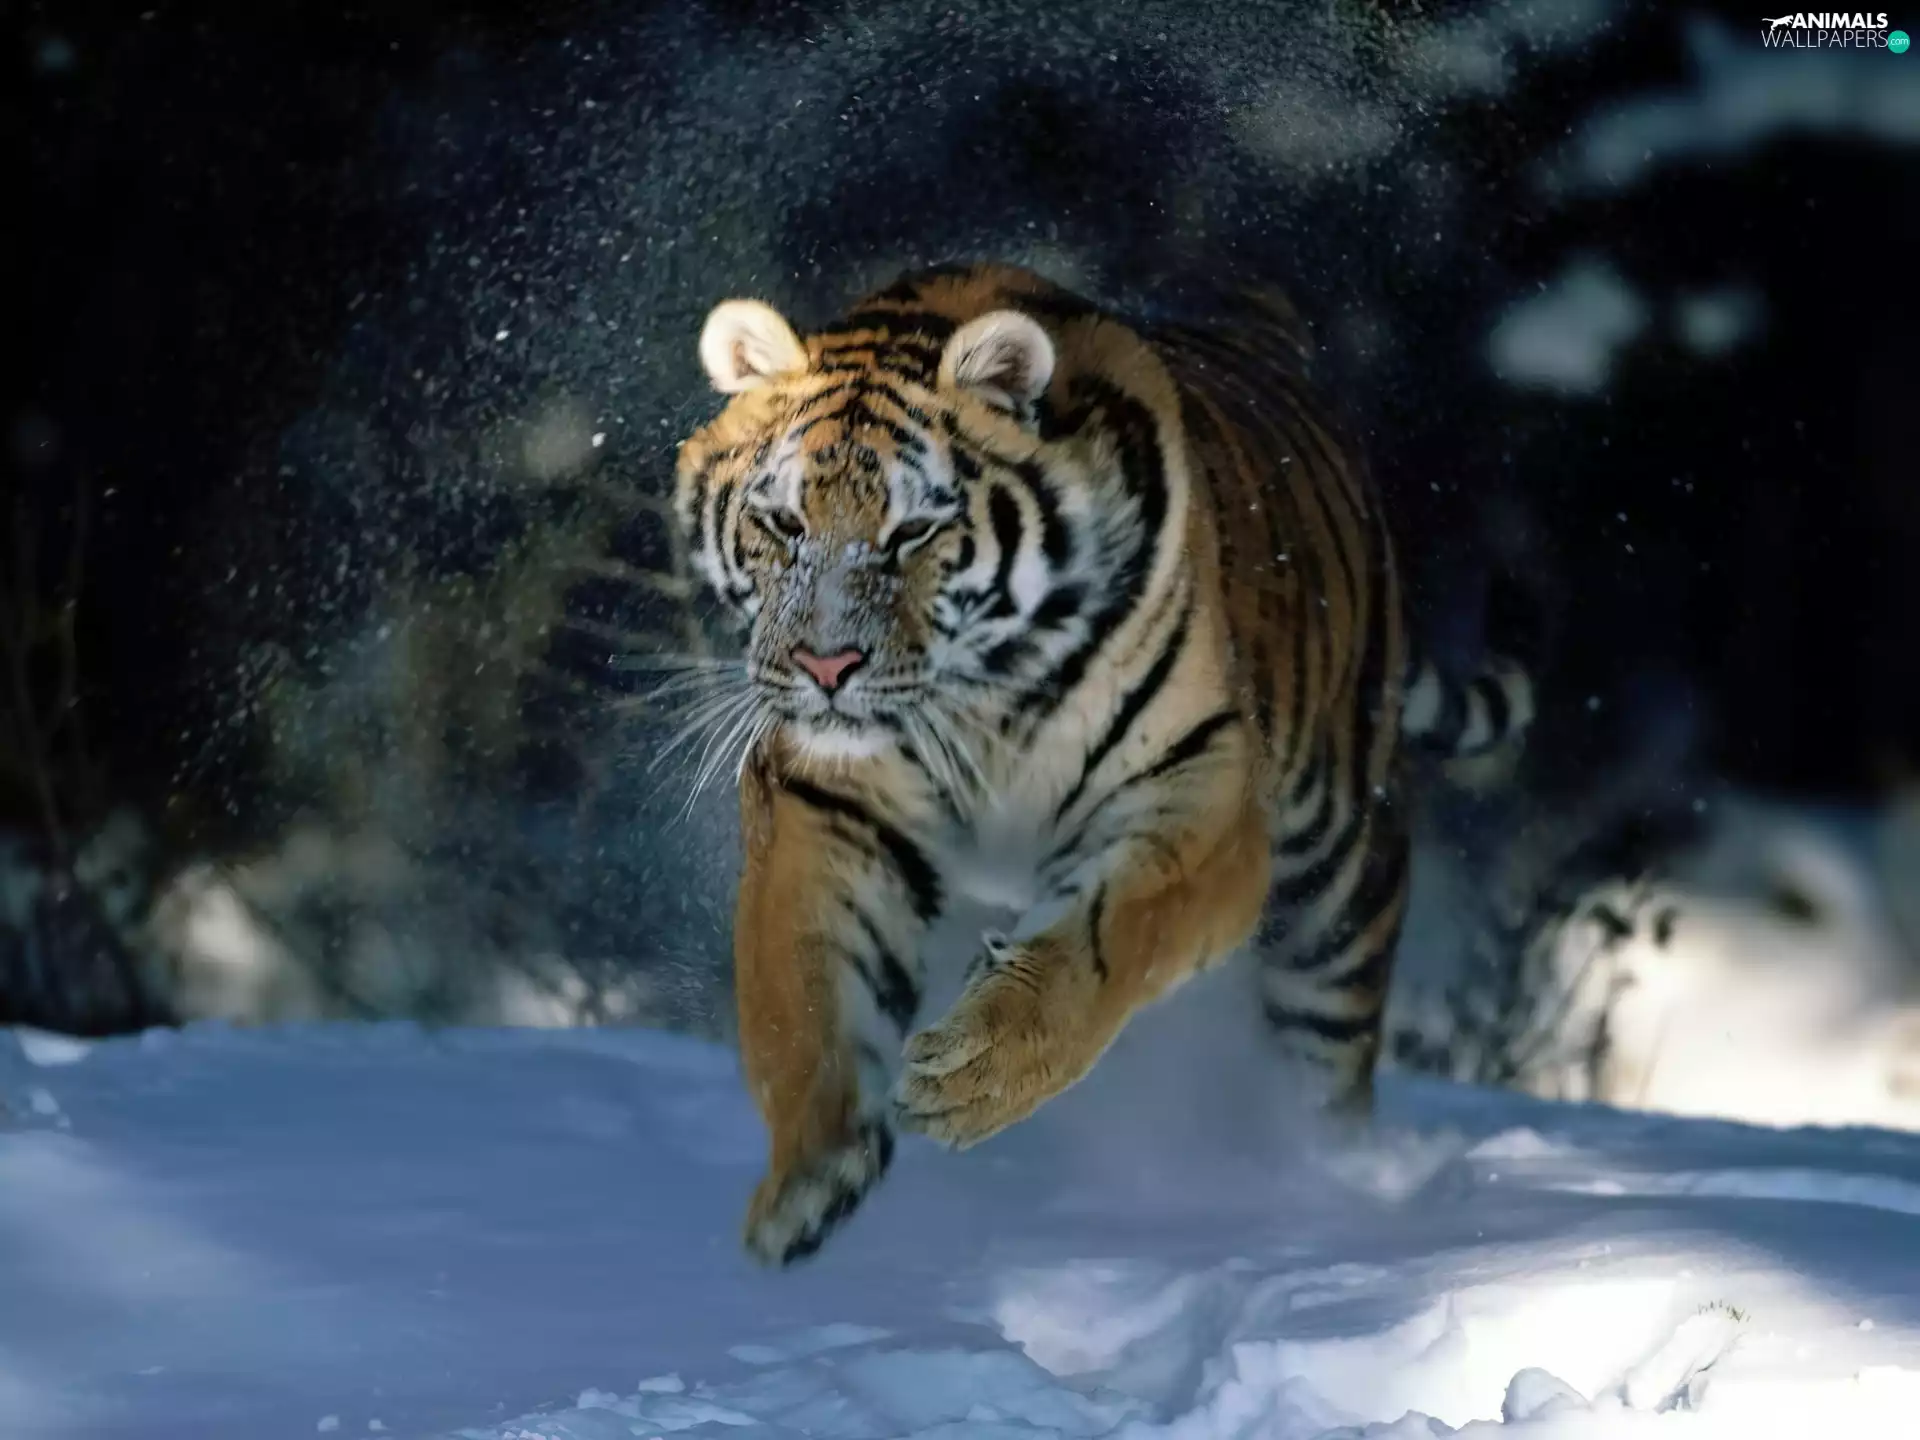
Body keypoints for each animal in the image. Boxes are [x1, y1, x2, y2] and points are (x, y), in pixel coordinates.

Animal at [670, 262, 1534, 1267]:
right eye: (782, 522)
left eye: (913, 532)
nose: (825, 666)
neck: (983, 697)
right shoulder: (825, 798)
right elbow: (801, 987)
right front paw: (810, 1176)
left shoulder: (1200, 788)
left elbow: (1107, 940)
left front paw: (973, 1076)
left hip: (1339, 897)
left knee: (1328, 1075)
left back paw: (1330, 1198)